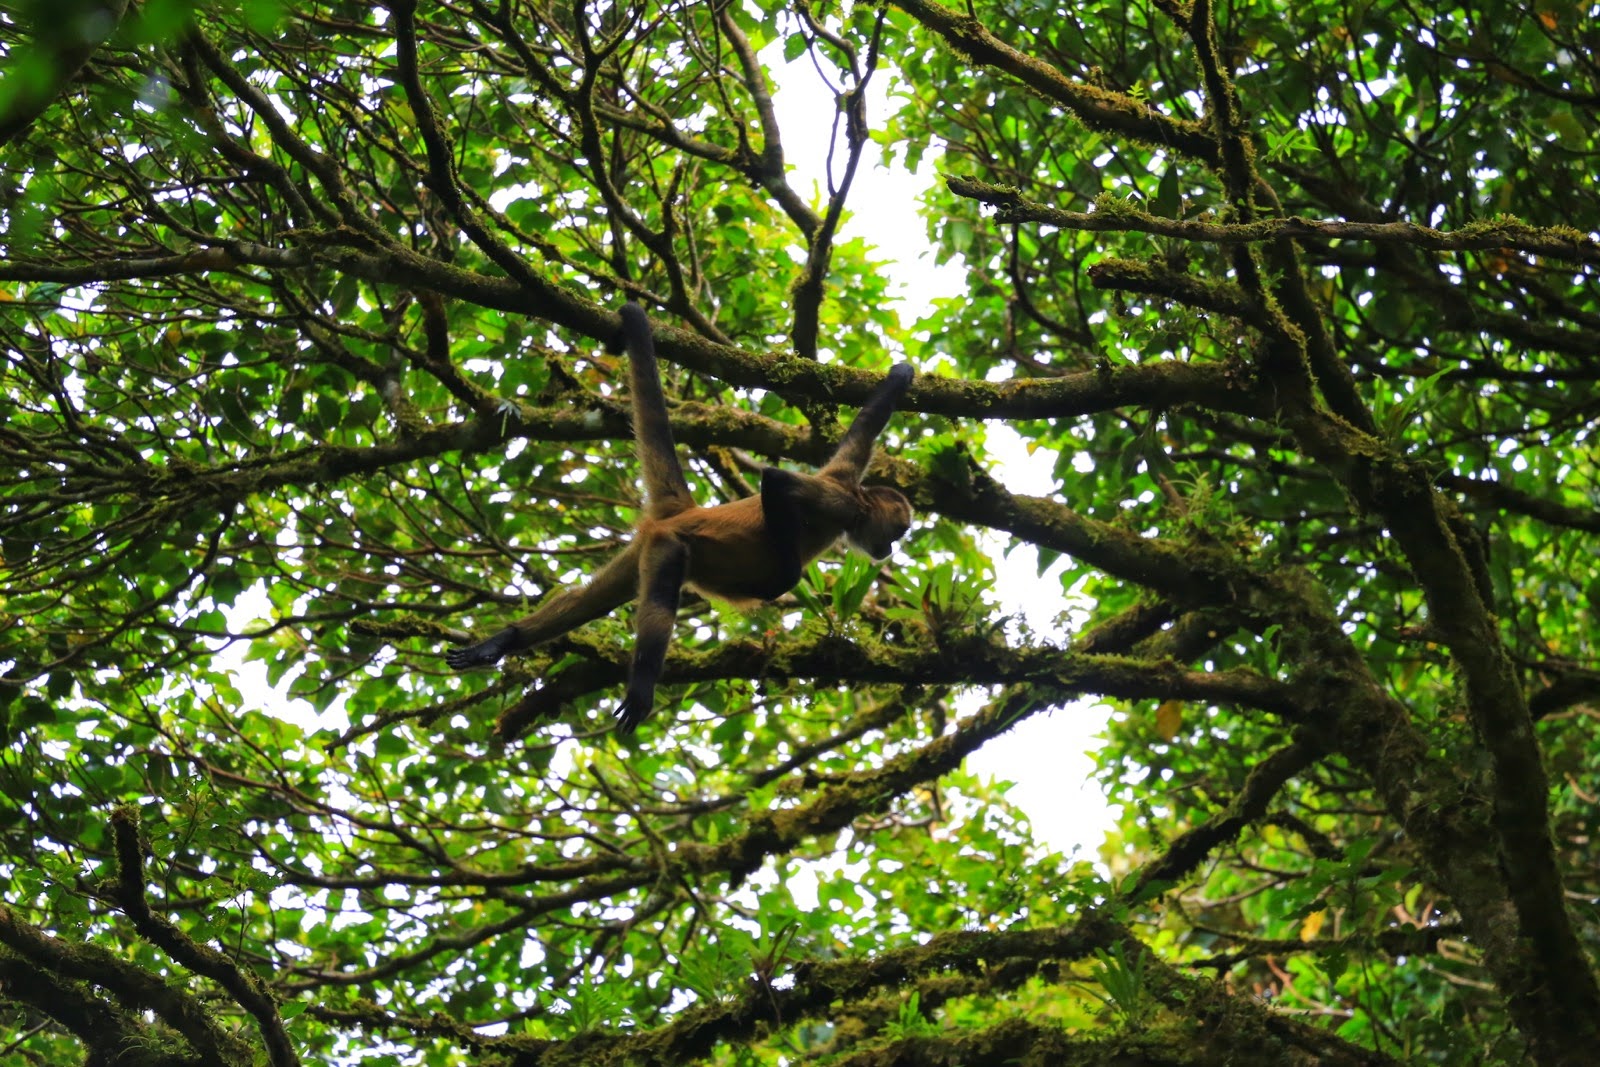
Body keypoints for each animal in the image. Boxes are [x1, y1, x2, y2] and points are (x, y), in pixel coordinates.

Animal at [445, 302, 915, 733]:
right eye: (898, 532)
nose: (889, 550)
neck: (854, 504)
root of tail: (681, 512)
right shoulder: (837, 498)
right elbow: (776, 483)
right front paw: (779, 581)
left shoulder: (844, 473)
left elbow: (865, 427)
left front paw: (900, 376)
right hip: (668, 546)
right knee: (658, 603)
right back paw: (641, 684)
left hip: (642, 549)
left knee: (587, 603)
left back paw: (502, 641)